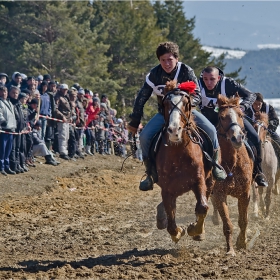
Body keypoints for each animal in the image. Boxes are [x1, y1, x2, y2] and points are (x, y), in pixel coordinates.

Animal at [154, 80, 213, 243]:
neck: (178, 153)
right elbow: (170, 217)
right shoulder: (167, 189)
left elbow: (202, 207)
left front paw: (195, 229)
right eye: (166, 103)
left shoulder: (199, 180)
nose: (175, 130)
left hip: (209, 181)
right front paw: (178, 232)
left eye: (186, 103)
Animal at [211, 95, 255, 256]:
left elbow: (243, 221)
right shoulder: (219, 194)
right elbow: (228, 224)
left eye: (241, 114)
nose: (237, 137)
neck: (232, 162)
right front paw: (230, 250)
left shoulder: (245, 194)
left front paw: (242, 242)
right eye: (222, 117)